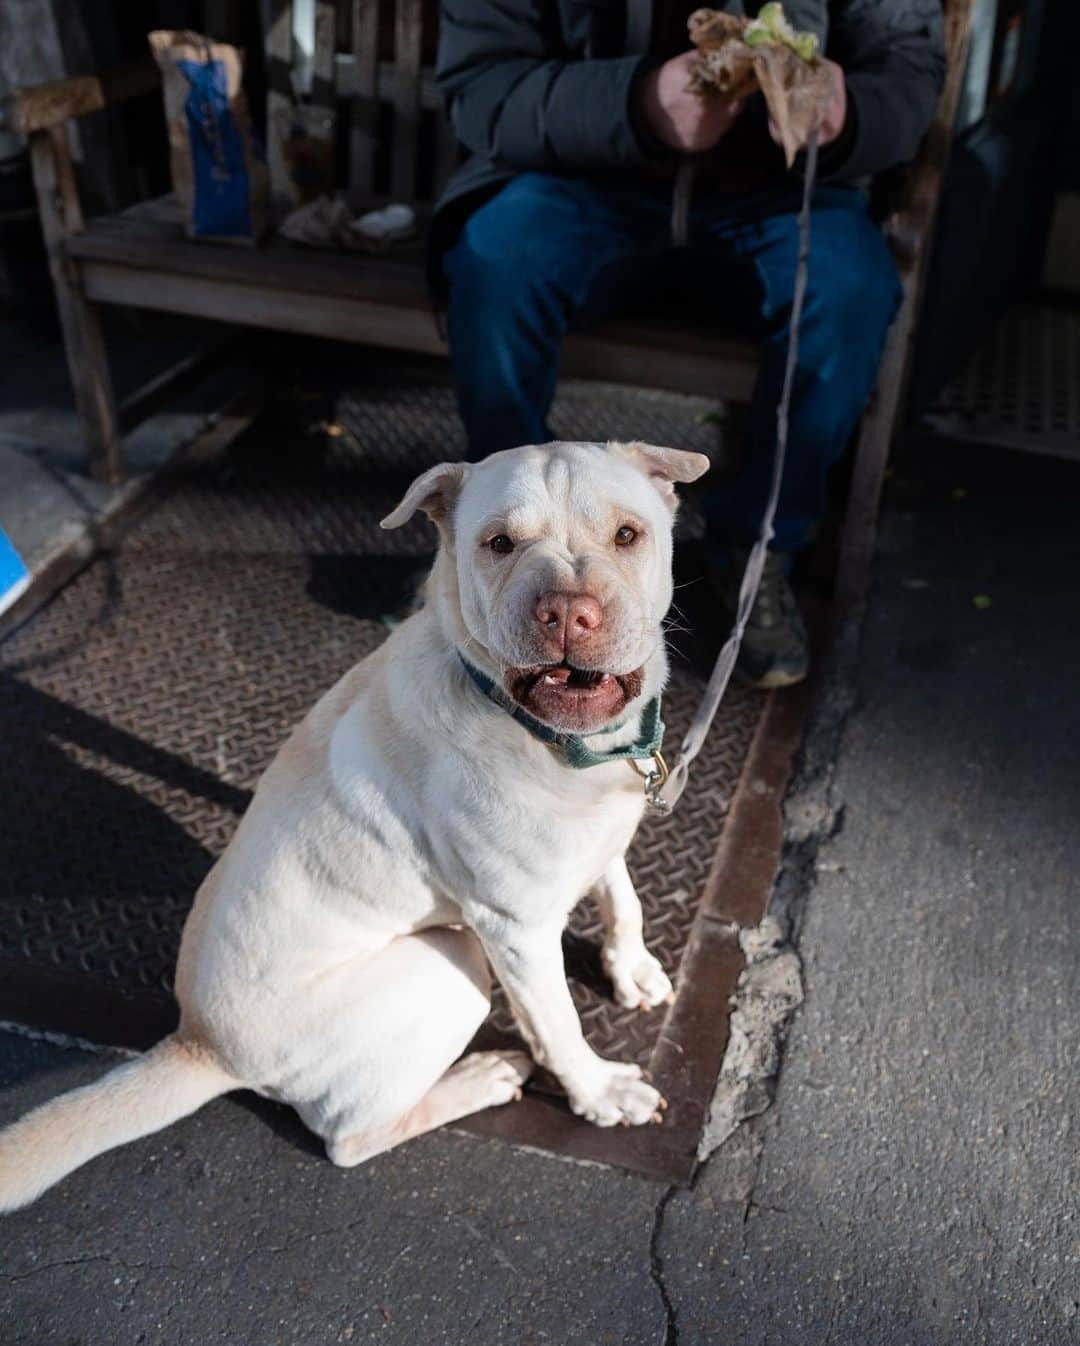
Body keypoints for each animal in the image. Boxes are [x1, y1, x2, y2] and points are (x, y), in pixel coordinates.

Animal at [0, 441, 705, 1211]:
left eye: (628, 535)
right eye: (498, 544)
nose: (569, 613)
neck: (560, 748)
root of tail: (198, 1042)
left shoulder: (601, 832)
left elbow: (622, 896)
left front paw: (630, 968)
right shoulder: (514, 930)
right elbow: (560, 1026)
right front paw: (601, 1093)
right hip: (453, 960)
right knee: (347, 1139)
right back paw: (479, 1080)